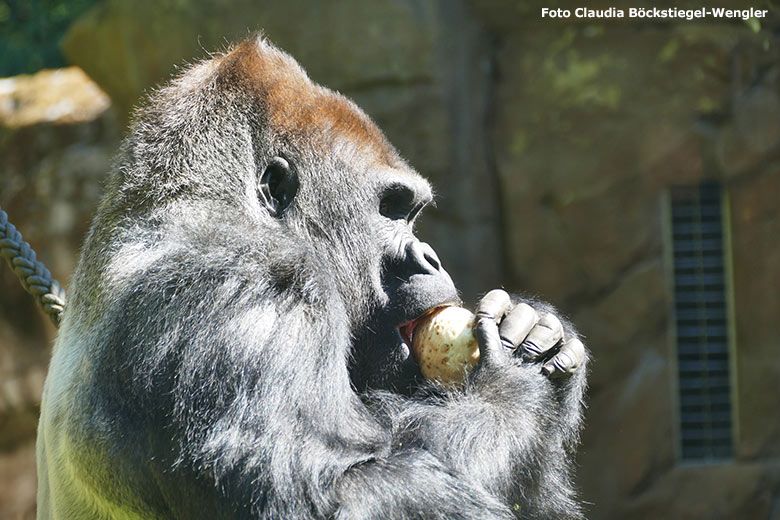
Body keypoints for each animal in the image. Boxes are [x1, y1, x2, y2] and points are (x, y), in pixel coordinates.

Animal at [35, 37, 584, 520]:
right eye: (392, 209)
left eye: (409, 212)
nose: (430, 259)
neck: (206, 202)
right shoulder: (252, 285)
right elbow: (336, 495)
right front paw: (515, 377)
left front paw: (541, 334)